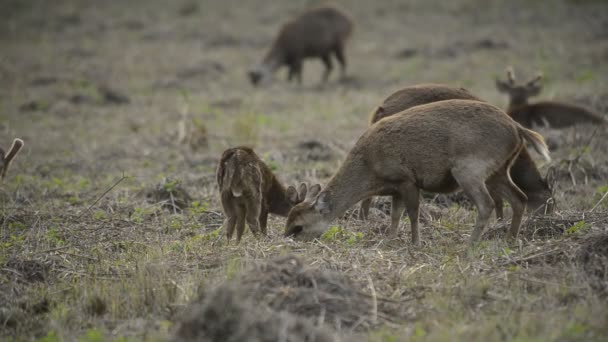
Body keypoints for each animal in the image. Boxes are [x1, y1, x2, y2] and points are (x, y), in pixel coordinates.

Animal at [284, 99, 552, 246]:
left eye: (298, 227)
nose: (285, 240)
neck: (370, 168)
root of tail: (517, 128)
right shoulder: (394, 188)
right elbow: (395, 215)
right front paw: (390, 239)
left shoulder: (407, 178)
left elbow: (412, 214)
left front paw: (415, 243)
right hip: (498, 170)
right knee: (520, 198)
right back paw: (510, 239)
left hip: (470, 167)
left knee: (486, 203)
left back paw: (470, 244)